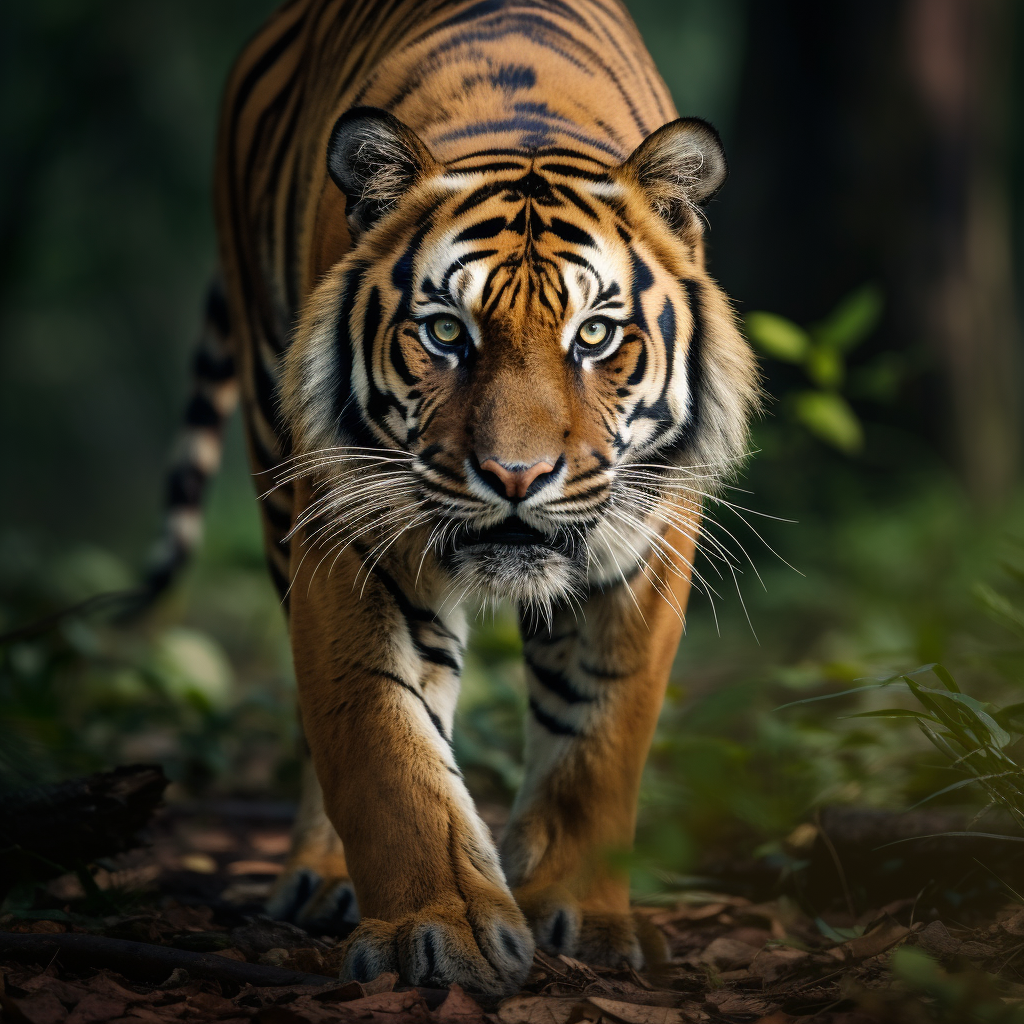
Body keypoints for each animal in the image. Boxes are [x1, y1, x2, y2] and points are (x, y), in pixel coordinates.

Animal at [159, 0, 758, 996]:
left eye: (595, 336)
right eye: (446, 332)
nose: (515, 477)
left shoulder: (649, 540)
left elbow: (599, 738)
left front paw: (588, 921)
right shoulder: (352, 531)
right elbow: (384, 741)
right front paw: (438, 930)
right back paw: (322, 876)